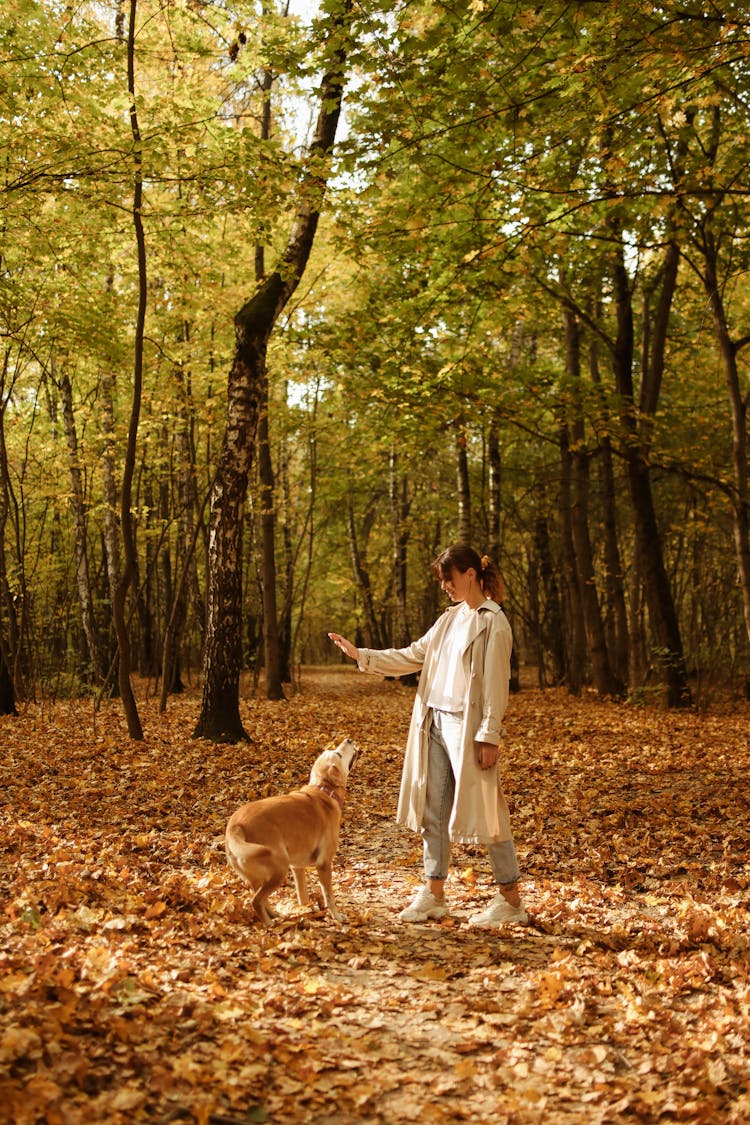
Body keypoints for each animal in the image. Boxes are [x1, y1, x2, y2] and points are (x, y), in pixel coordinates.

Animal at [224, 738, 359, 922]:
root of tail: (236, 826)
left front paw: (306, 911)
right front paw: (337, 917)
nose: (348, 740)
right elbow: (329, 896)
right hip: (280, 869)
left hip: (260, 877)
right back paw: (269, 924)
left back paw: (274, 914)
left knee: (261, 898)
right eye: (338, 754)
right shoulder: (324, 864)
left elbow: (303, 896)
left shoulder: (297, 867)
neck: (324, 790)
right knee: (256, 901)